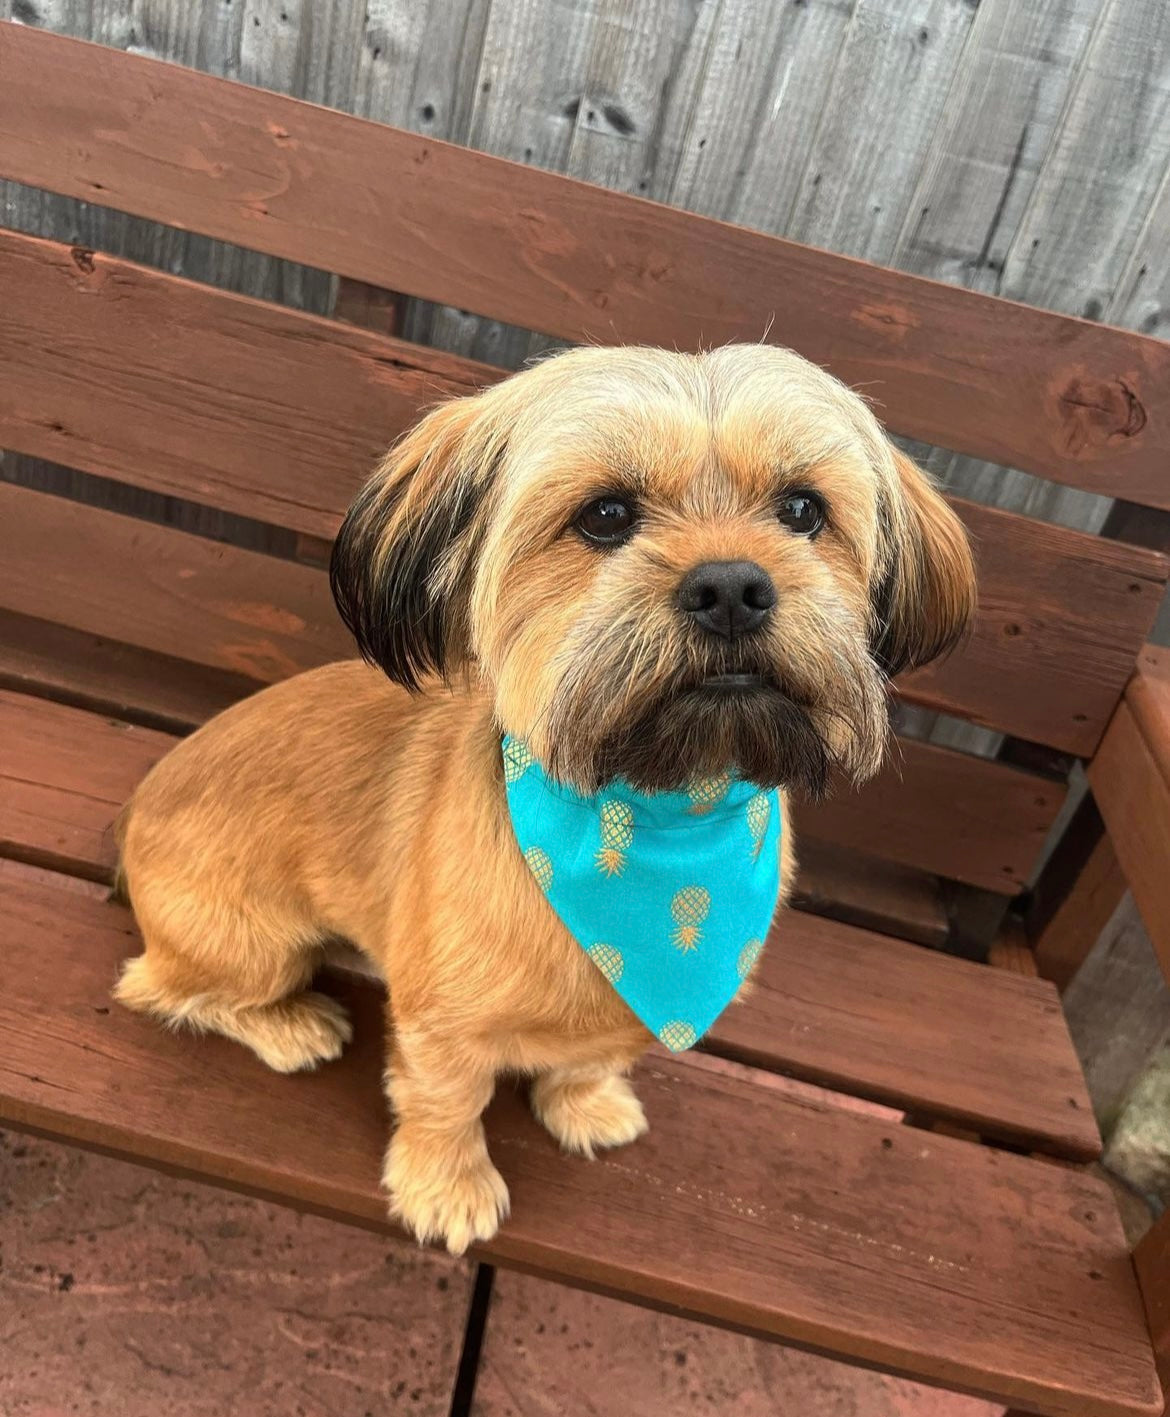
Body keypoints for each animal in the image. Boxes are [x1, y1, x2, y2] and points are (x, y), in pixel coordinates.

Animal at [114, 342, 968, 1252]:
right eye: (605, 515)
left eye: (804, 509)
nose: (733, 586)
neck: (658, 816)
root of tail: (134, 813)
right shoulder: (442, 1024)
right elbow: (446, 1100)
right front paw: (447, 1187)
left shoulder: (624, 1009)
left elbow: (591, 1055)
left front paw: (585, 1105)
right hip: (249, 944)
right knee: (164, 987)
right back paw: (289, 1024)